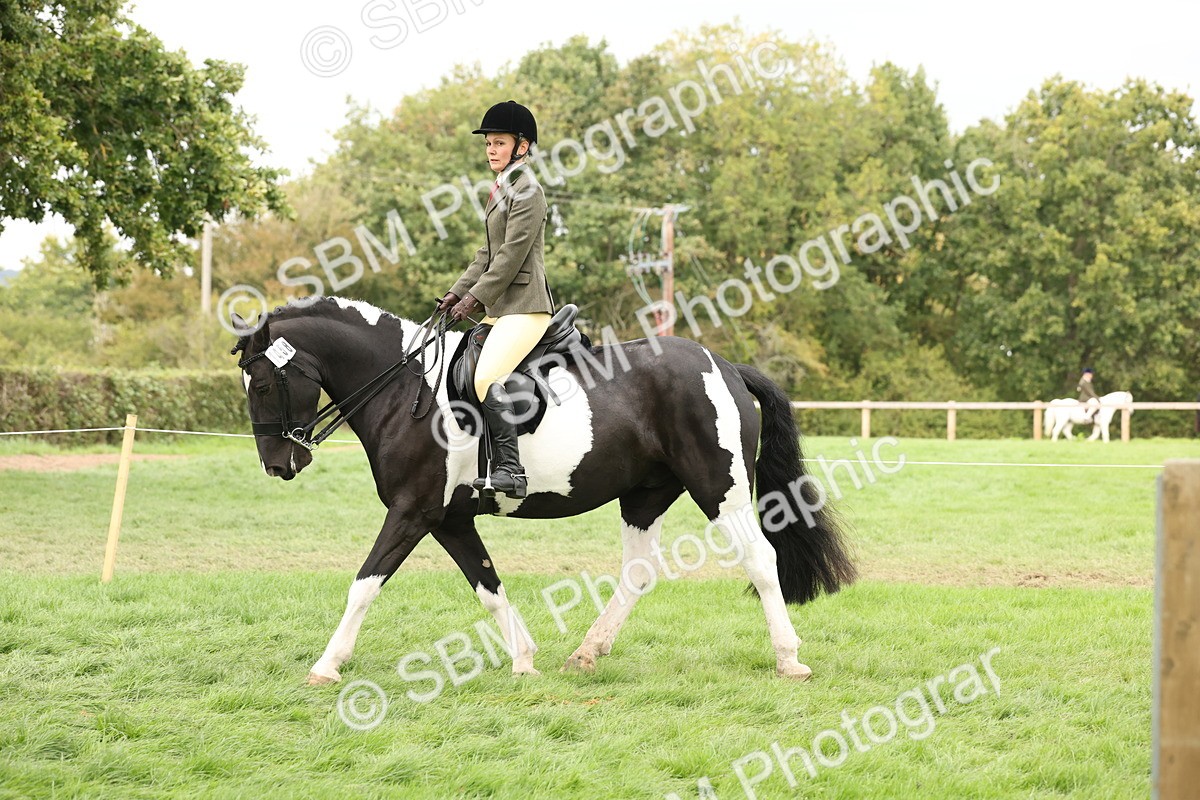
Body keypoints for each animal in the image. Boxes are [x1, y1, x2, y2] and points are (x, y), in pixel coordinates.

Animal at [229, 296, 856, 685]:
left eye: (260, 383)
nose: (278, 465)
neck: (405, 387)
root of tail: (723, 366)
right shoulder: (449, 519)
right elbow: (487, 586)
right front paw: (525, 660)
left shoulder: (412, 513)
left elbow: (364, 585)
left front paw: (327, 665)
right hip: (646, 494)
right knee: (638, 571)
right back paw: (587, 653)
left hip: (718, 487)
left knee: (760, 559)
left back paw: (789, 659)